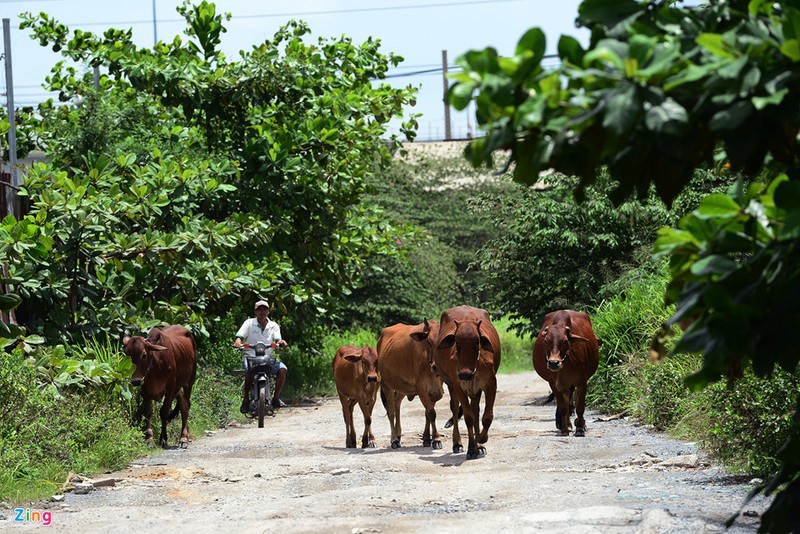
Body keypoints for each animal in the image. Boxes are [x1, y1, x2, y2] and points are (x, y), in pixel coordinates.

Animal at [378, 322, 446, 452]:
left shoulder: (436, 390)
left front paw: (426, 438)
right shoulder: (422, 388)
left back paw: (398, 435)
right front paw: (436, 439)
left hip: (401, 388)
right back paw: (394, 440)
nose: (436, 366)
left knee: (397, 405)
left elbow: (427, 413)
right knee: (391, 412)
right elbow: (431, 413)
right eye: (429, 342)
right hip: (387, 385)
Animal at [432, 306, 500, 460]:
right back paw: (458, 443)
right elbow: (468, 417)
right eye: (456, 340)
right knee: (455, 408)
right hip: (451, 385)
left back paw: (478, 445)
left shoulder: (490, 384)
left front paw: (480, 439)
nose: (465, 374)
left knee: (476, 410)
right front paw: (471, 449)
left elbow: (487, 416)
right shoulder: (458, 386)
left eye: (477, 341)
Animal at [532, 310, 600, 440]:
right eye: (546, 341)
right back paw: (567, 424)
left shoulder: (582, 382)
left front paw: (580, 428)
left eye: (565, 341)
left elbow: (580, 407)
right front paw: (564, 429)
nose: (553, 363)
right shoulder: (554, 384)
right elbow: (563, 407)